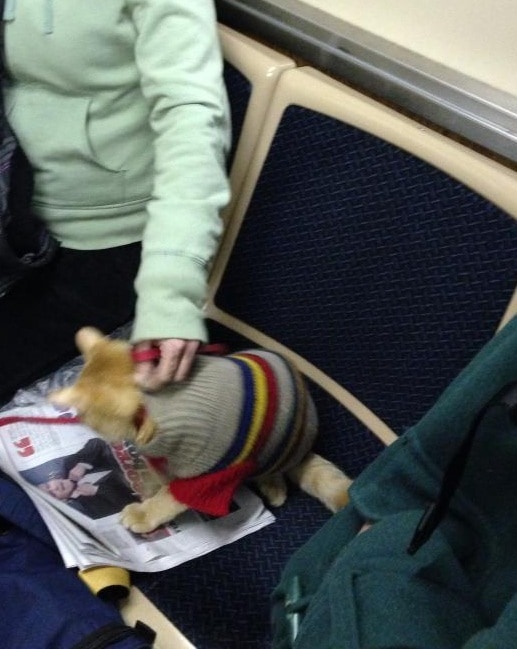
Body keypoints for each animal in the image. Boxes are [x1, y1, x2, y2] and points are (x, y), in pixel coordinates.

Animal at [51, 326, 350, 536]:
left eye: (86, 419)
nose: (76, 419)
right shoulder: (161, 456)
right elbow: (158, 477)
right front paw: (147, 485)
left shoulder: (206, 476)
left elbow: (168, 499)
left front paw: (144, 513)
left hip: (269, 452)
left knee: (272, 471)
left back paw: (273, 486)